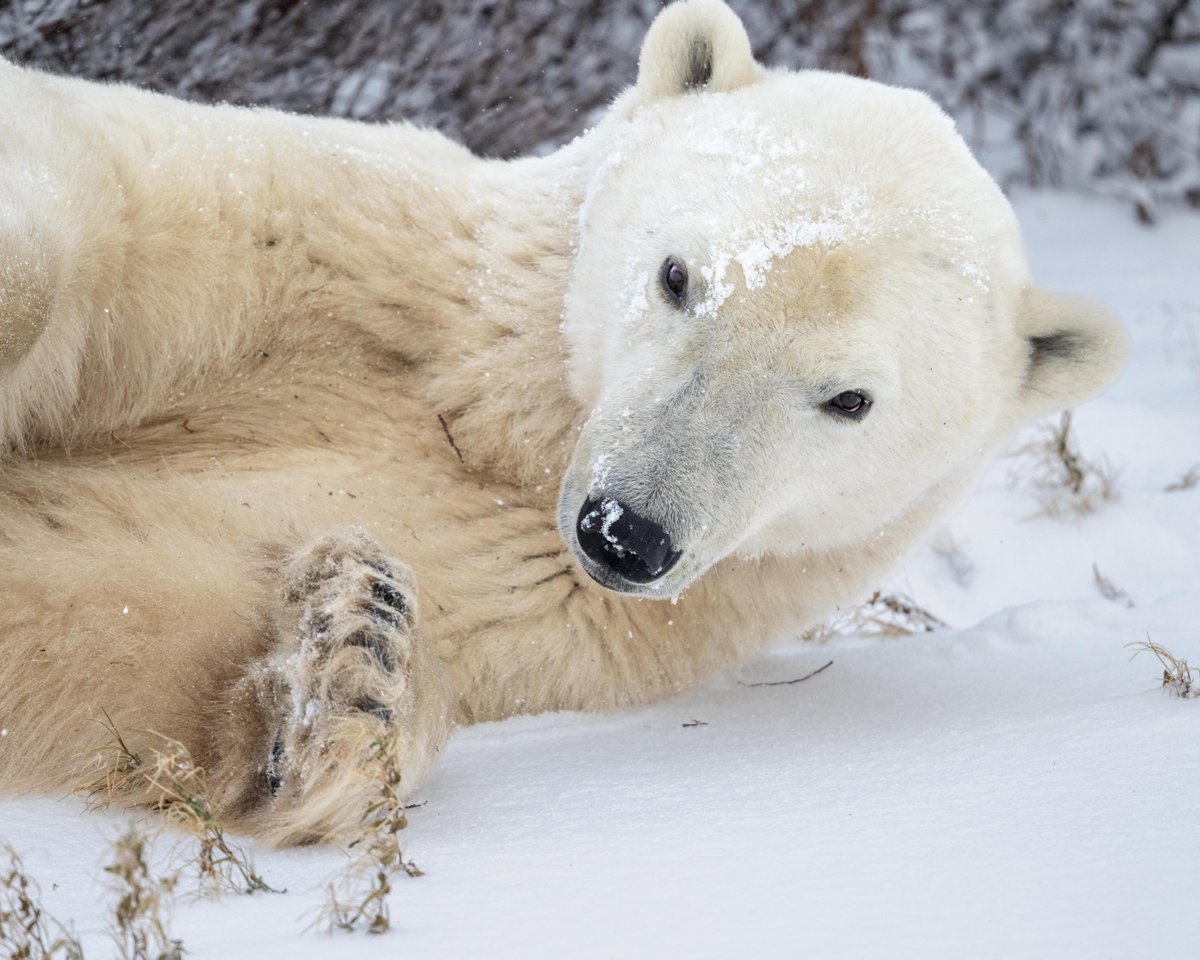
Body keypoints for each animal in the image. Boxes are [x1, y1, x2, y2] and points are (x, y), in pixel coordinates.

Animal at [0, 0, 1123, 840]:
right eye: (678, 276)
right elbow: (107, 197)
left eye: (849, 400)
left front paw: (353, 657)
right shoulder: (337, 243)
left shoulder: (561, 618)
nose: (626, 532)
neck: (497, 421)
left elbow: (115, 617)